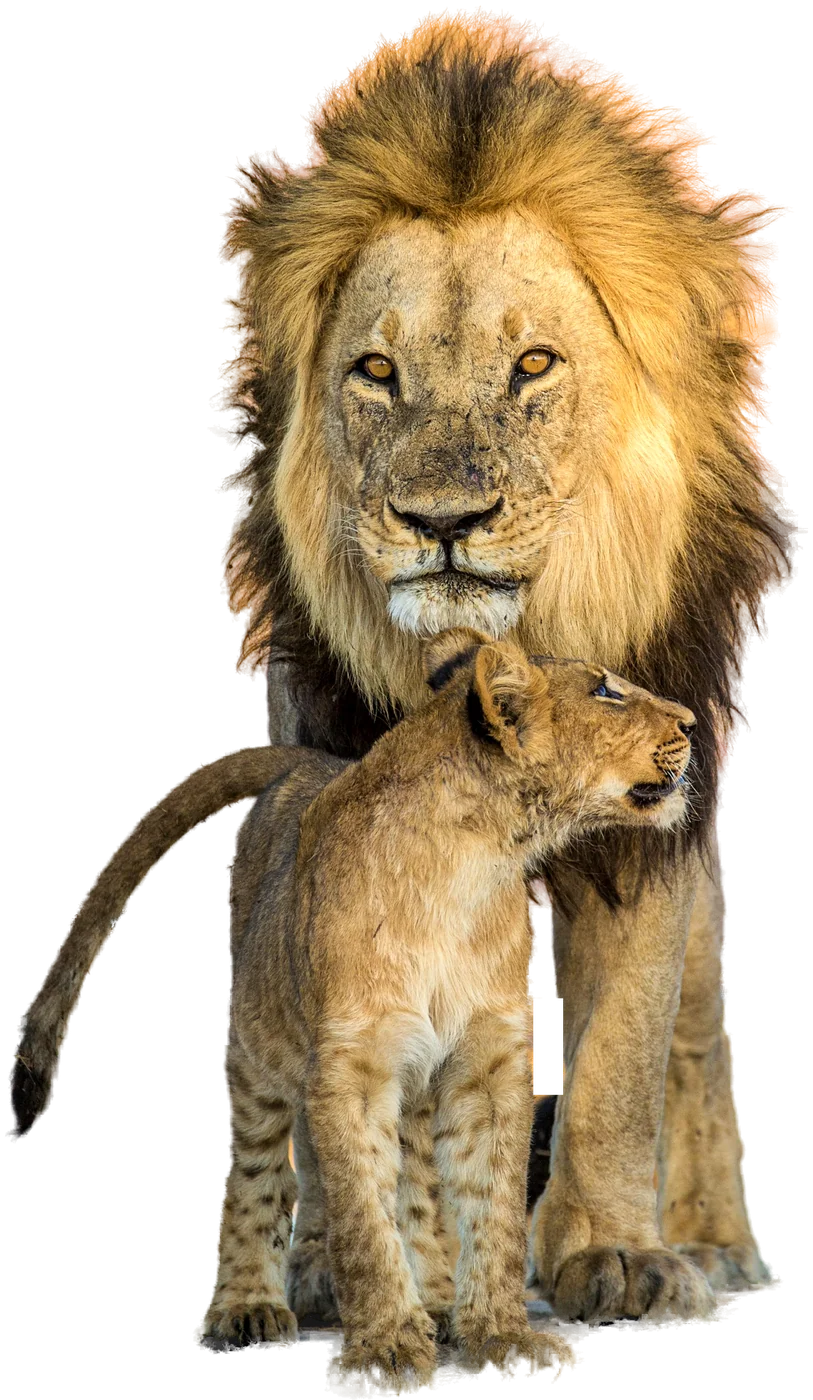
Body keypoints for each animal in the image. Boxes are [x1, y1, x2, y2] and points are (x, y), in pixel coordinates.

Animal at [12, 628, 706, 1390]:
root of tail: (306, 761)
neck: (471, 866)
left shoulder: (487, 1065)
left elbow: (490, 1213)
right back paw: (246, 1309)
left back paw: (438, 1306)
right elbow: (362, 1218)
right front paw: (386, 1353)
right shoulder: (351, 1066)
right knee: (257, 1173)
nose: (691, 723)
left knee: (420, 1190)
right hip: (259, 1046)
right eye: (606, 690)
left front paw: (499, 1337)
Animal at [209, 23, 795, 1328]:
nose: (442, 521)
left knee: (698, 1018)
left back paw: (715, 1238)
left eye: (532, 364)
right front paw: (350, 1257)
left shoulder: (654, 789)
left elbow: (625, 1045)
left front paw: (614, 1252)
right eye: (375, 371)